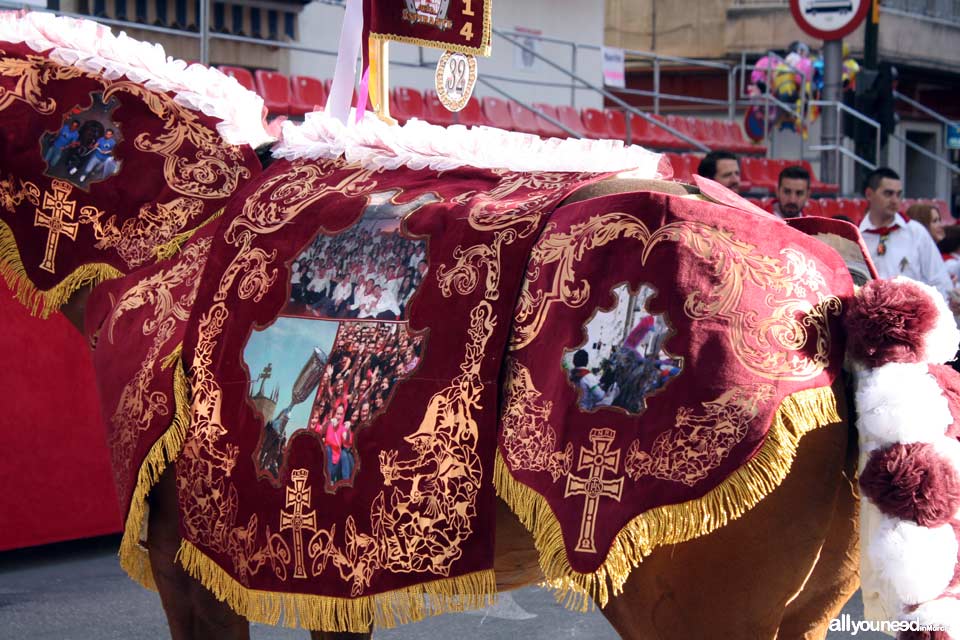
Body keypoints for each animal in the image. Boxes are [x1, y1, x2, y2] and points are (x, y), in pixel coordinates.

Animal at [1, 6, 960, 640]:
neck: (169, 230)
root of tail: (840, 286)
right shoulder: (323, 563)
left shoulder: (182, 559)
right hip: (801, 603)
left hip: (686, 600)